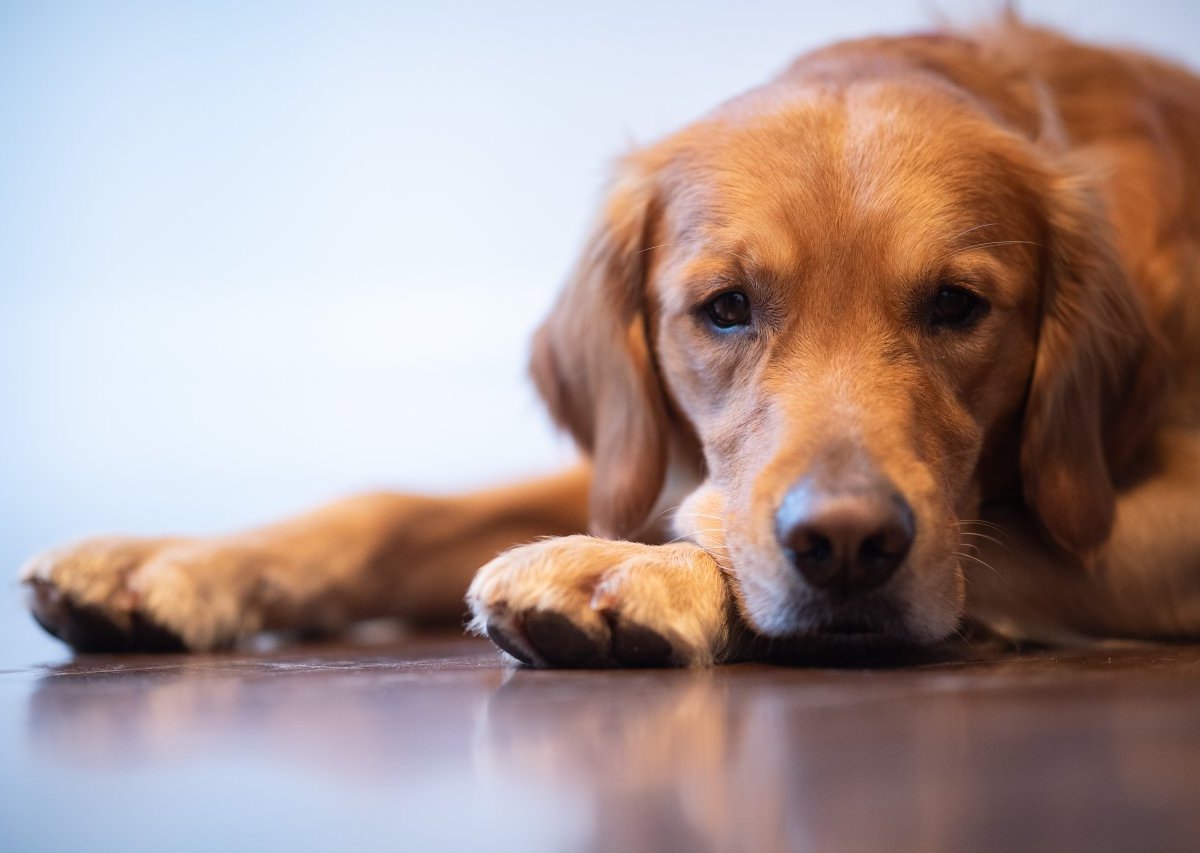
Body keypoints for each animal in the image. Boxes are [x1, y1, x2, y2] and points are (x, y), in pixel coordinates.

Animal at [21, 16, 1200, 662]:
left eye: (956, 305)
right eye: (724, 306)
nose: (846, 543)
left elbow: (984, 542)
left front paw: (628, 572)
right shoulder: (642, 460)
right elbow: (391, 509)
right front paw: (173, 561)